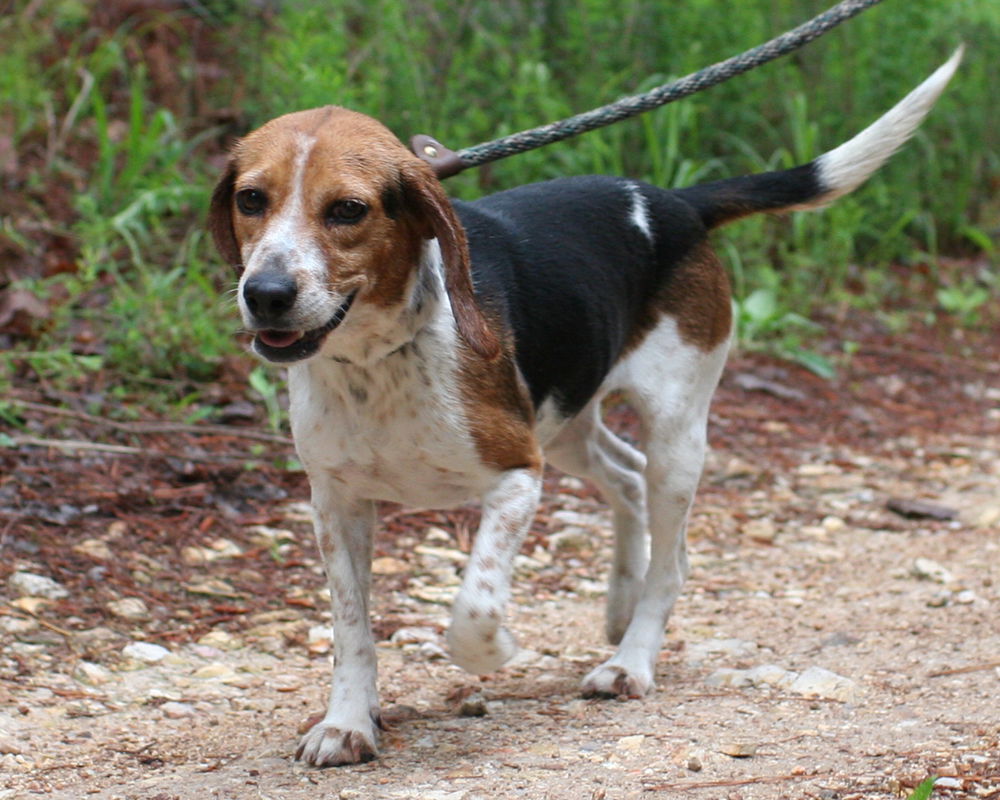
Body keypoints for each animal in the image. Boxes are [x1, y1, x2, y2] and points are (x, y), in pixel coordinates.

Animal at [209, 51, 960, 768]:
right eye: (252, 199)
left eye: (347, 210)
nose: (266, 293)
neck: (376, 360)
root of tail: (674, 202)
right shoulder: (336, 504)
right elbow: (351, 629)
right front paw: (346, 724)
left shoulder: (517, 476)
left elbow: (473, 606)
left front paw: (493, 650)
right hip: (567, 416)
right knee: (624, 476)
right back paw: (621, 604)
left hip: (672, 433)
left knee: (671, 555)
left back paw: (630, 660)